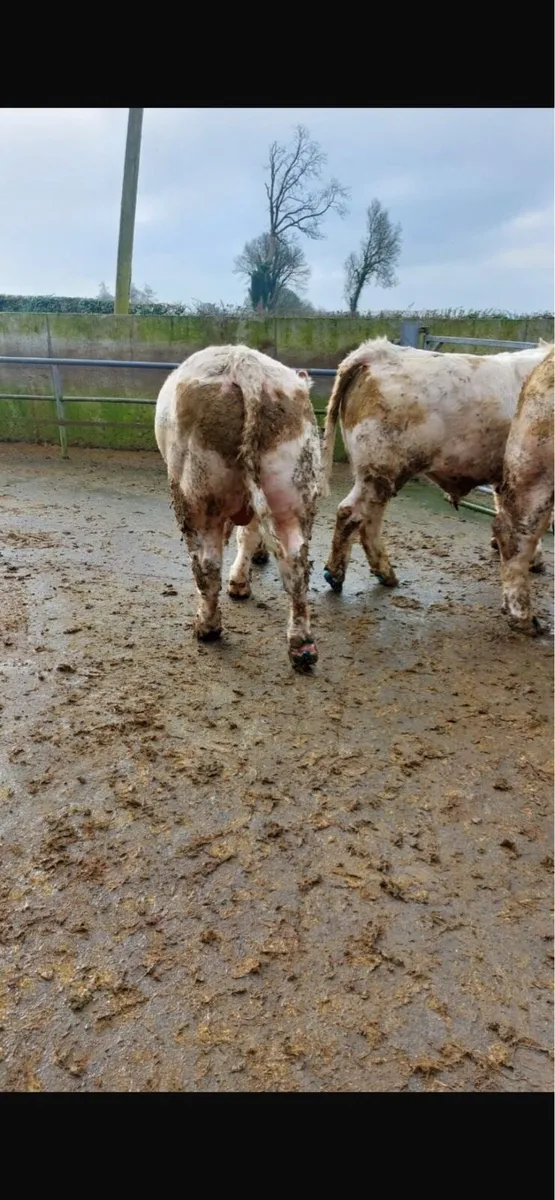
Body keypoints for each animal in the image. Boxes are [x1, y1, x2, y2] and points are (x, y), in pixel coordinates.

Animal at [154, 345, 321, 670]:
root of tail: (244, 364)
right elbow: (249, 537)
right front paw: (240, 583)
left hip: (195, 498)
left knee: (206, 563)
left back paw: (207, 626)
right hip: (292, 493)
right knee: (296, 564)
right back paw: (302, 645)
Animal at [320, 336, 550, 594]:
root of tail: (376, 350)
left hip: (380, 473)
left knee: (369, 517)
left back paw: (384, 574)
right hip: (379, 466)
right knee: (351, 513)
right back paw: (339, 574)